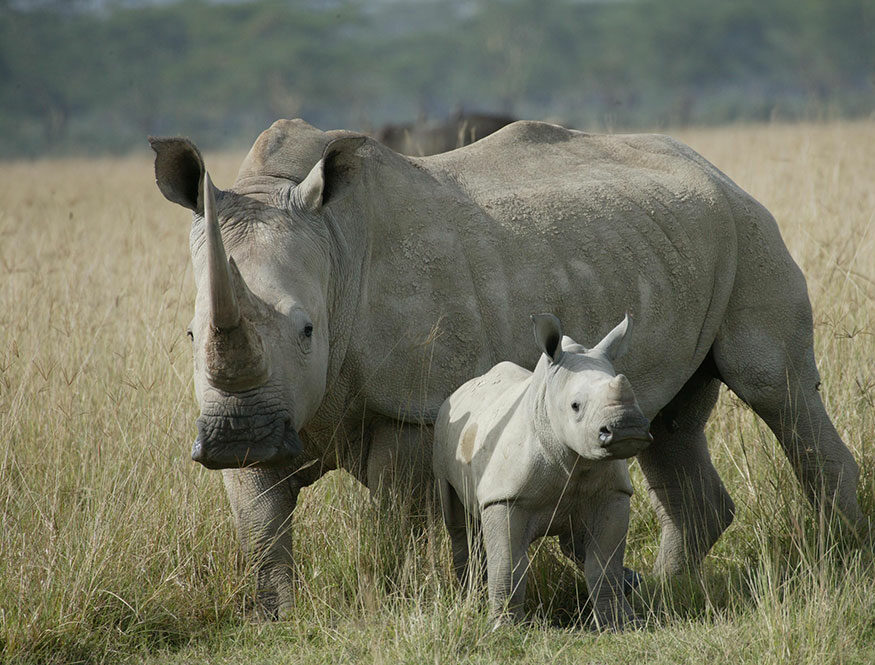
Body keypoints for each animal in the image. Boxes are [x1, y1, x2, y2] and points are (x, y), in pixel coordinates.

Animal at [434, 313, 649, 627]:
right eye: (575, 406)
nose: (627, 428)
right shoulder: (505, 497)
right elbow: (509, 563)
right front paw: (504, 626)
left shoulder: (613, 492)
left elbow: (604, 563)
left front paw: (620, 624)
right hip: (444, 432)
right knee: (459, 525)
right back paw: (469, 598)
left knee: (576, 542)